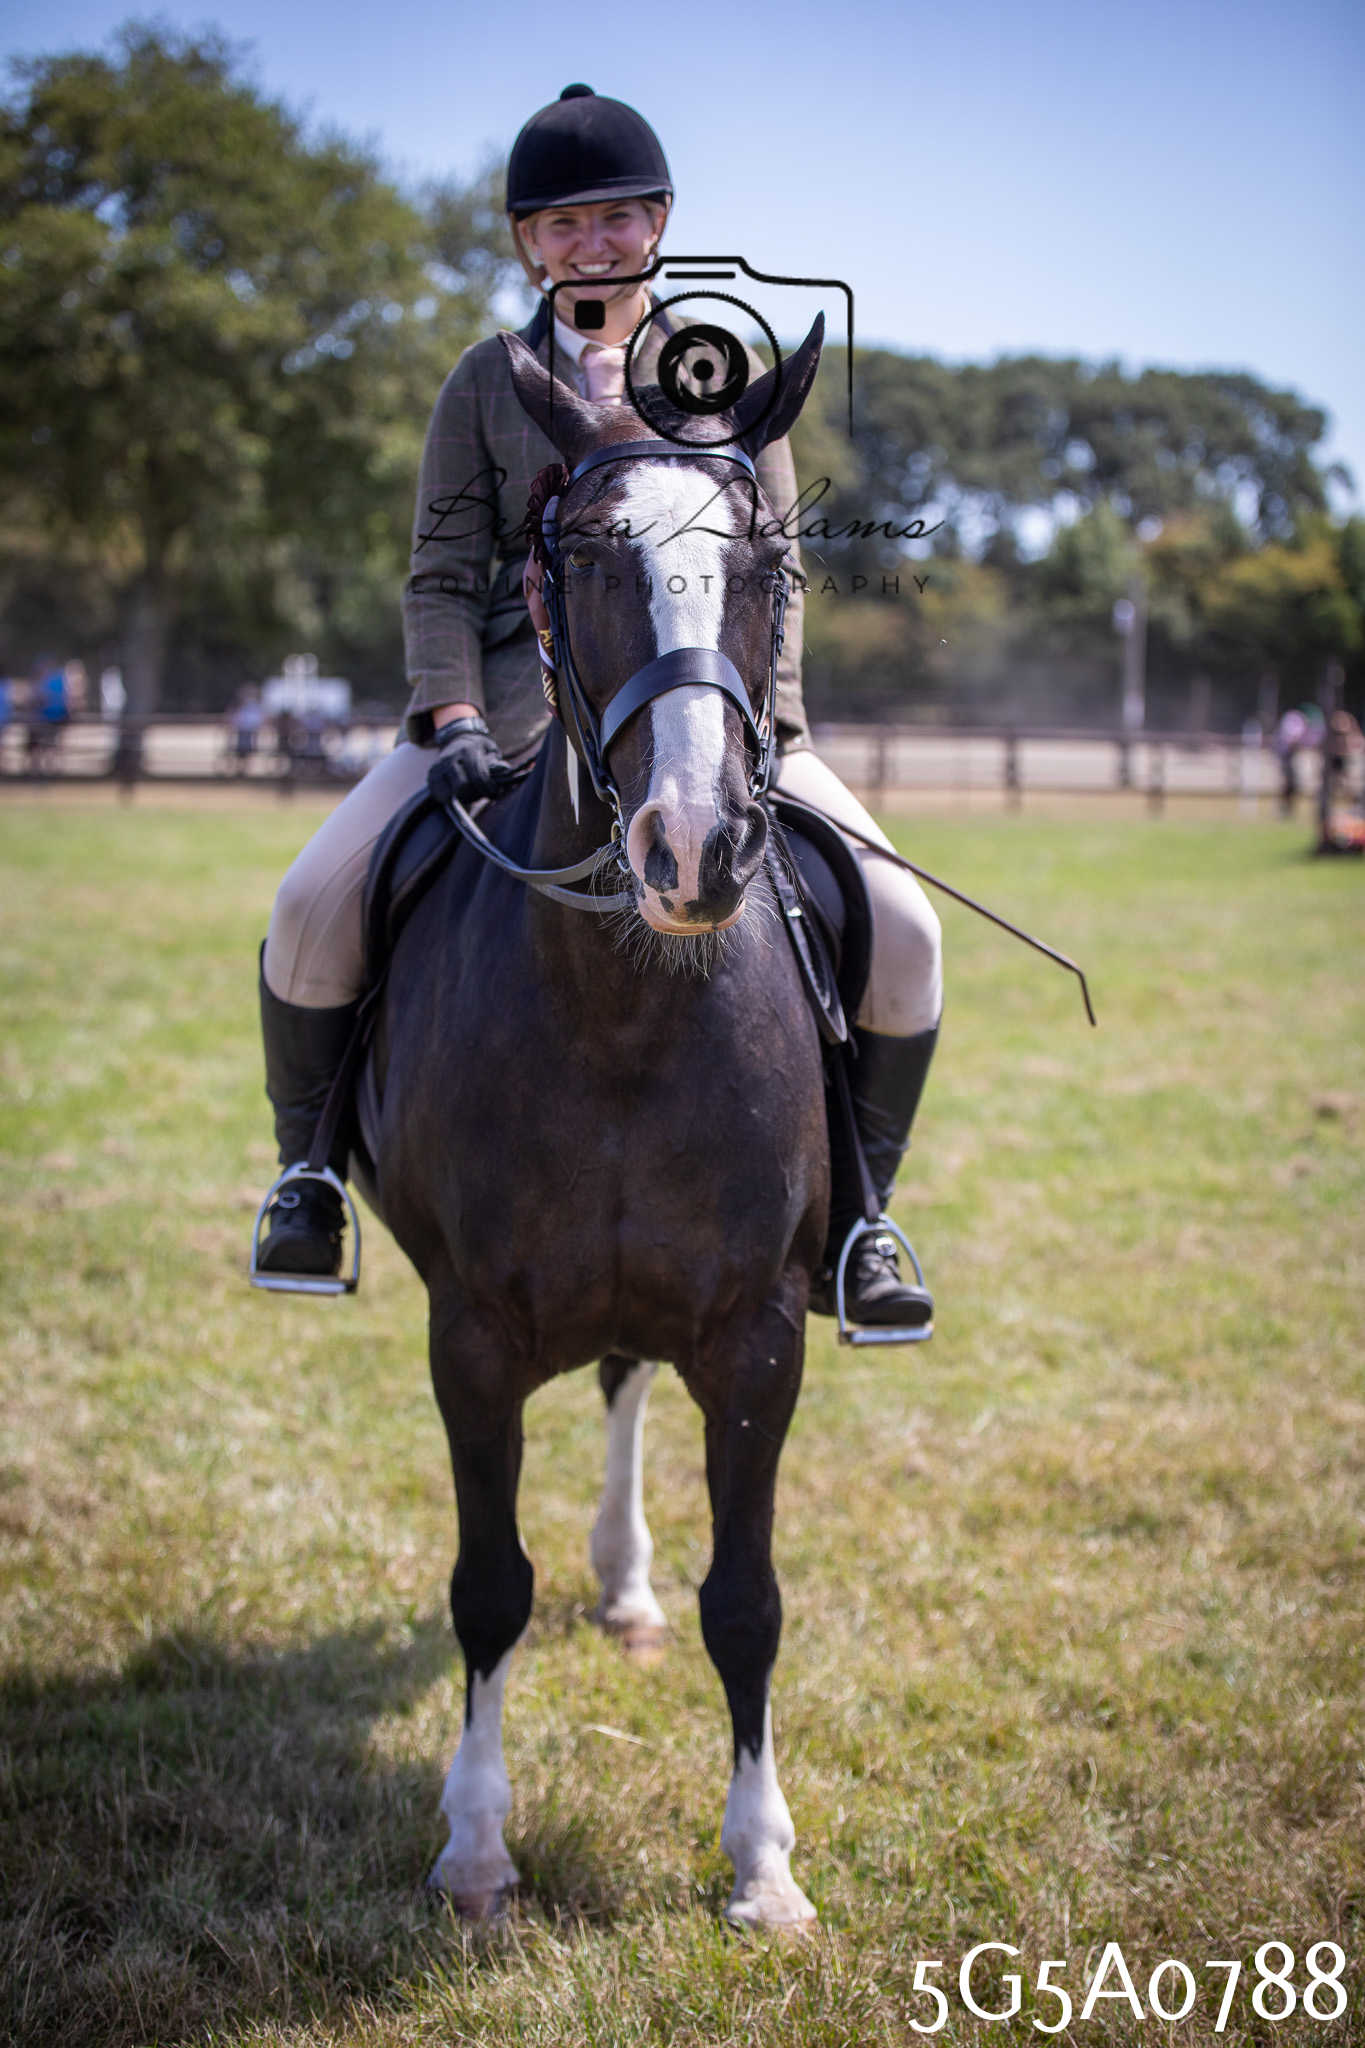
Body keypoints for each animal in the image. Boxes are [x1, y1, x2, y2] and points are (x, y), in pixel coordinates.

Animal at [365, 317, 831, 1930]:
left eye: (770, 559)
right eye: (572, 556)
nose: (694, 846)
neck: (627, 1005)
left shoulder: (758, 1330)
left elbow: (747, 1600)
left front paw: (761, 1866)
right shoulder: (468, 1334)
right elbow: (486, 1588)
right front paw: (472, 1846)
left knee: (629, 1379)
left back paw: (628, 1588)